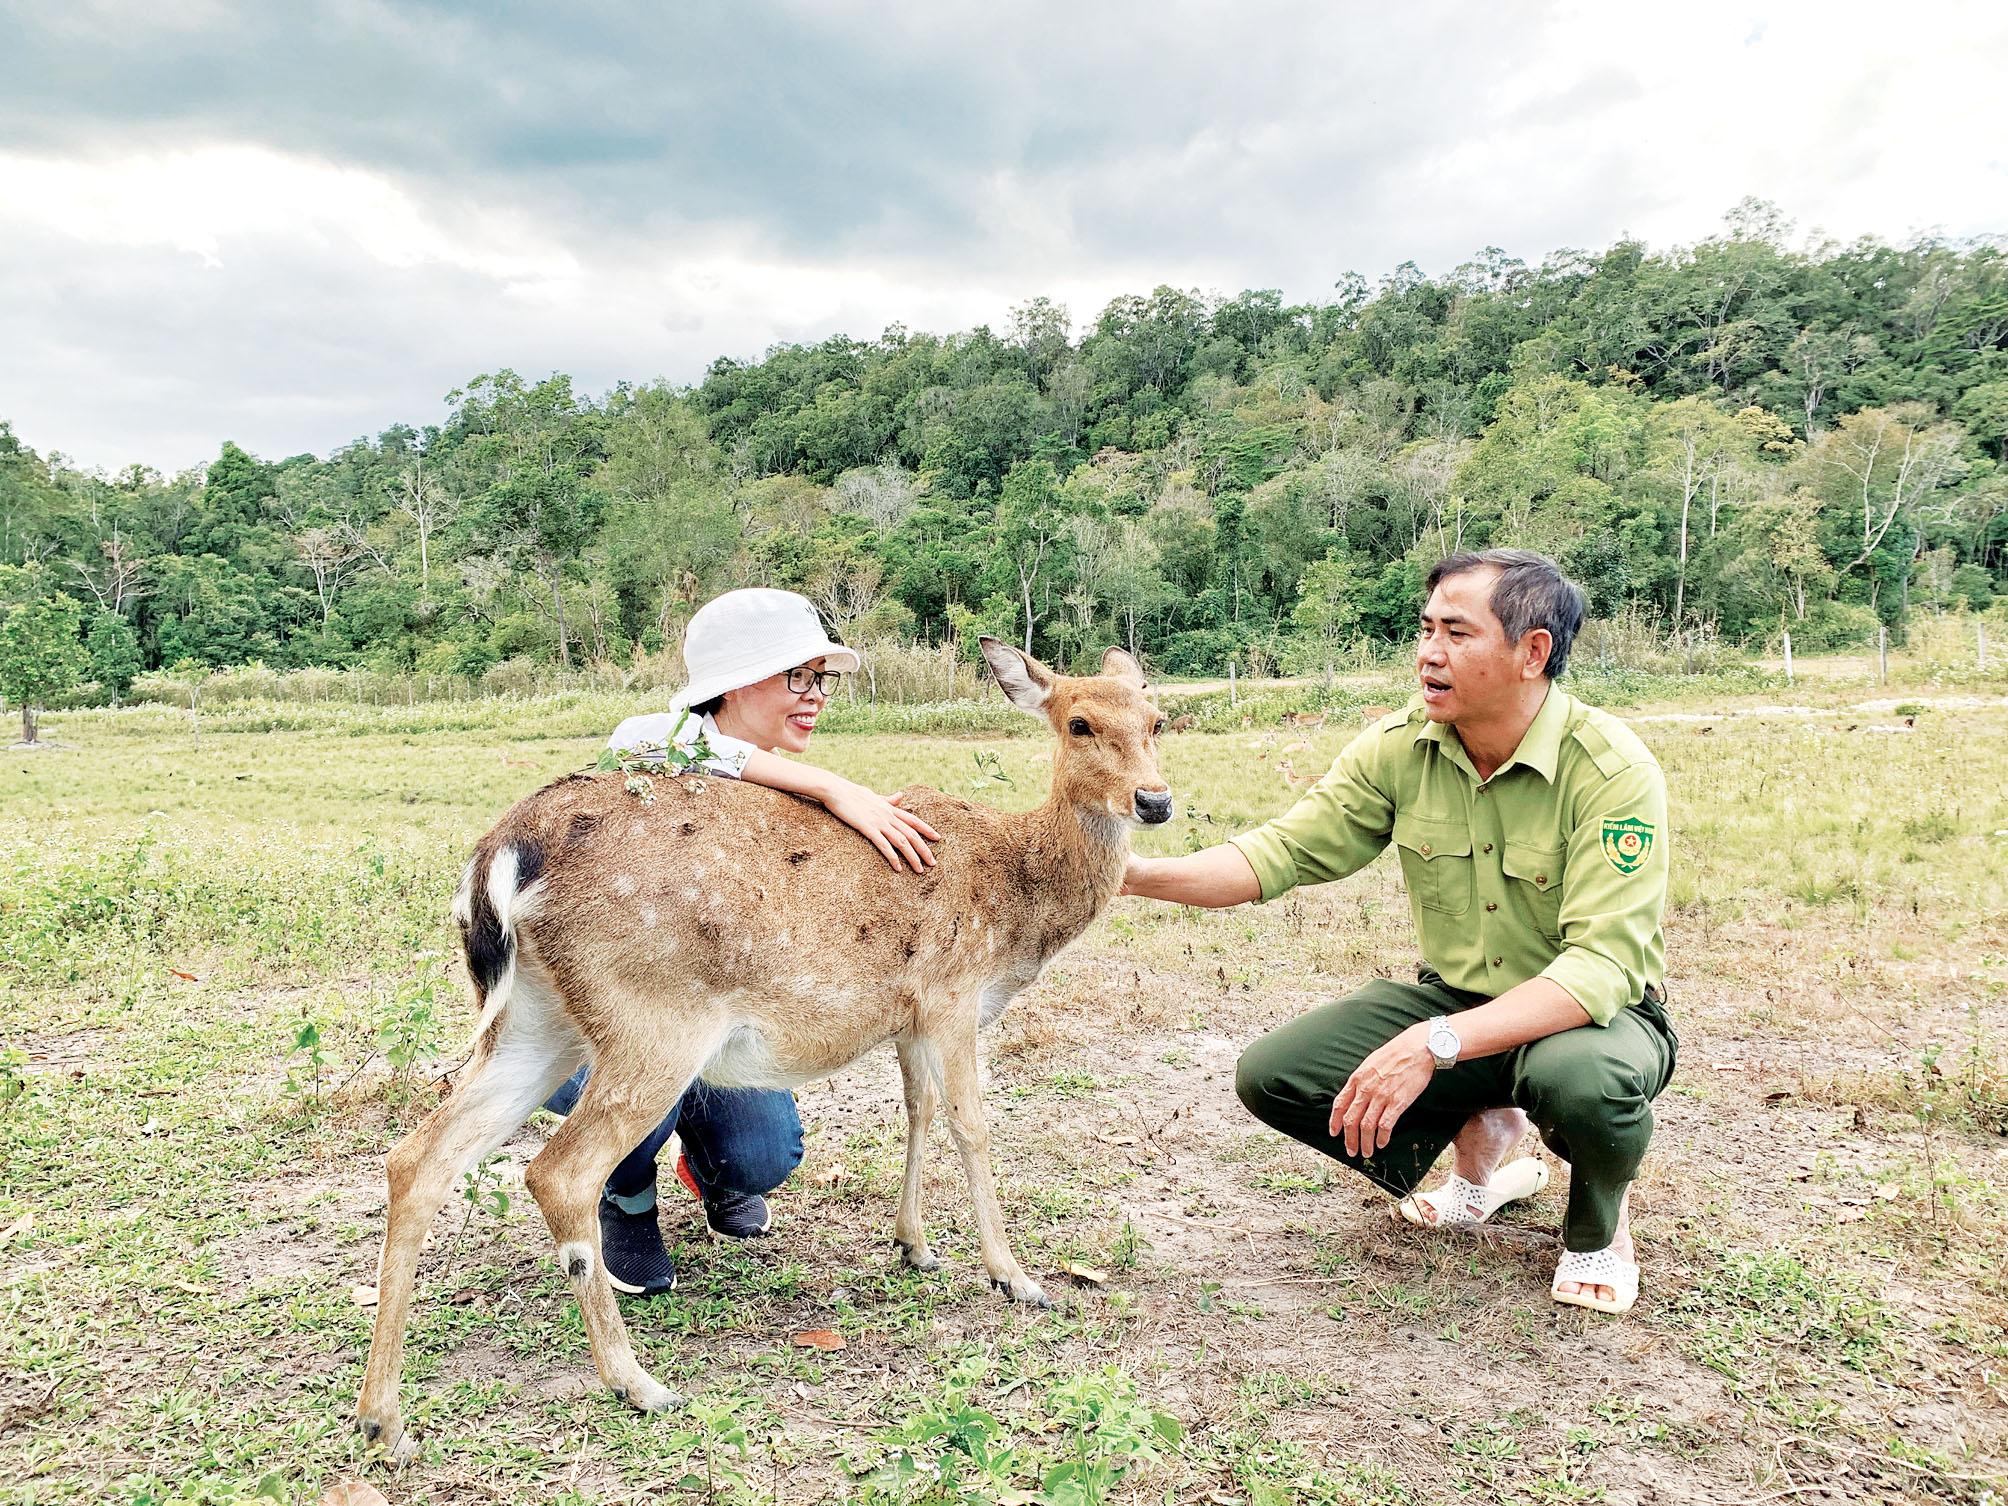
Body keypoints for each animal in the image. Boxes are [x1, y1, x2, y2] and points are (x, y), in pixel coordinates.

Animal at [357, 634, 1172, 1453]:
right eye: (1078, 722)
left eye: (1158, 719)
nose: (1156, 801)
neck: (1015, 894)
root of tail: (501, 855)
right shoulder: (952, 990)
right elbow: (971, 1124)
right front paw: (1015, 1277)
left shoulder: (909, 1015)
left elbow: (918, 1113)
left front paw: (914, 1246)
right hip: (654, 1018)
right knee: (559, 1172)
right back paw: (637, 1384)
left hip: (535, 1023)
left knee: (418, 1157)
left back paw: (381, 1419)